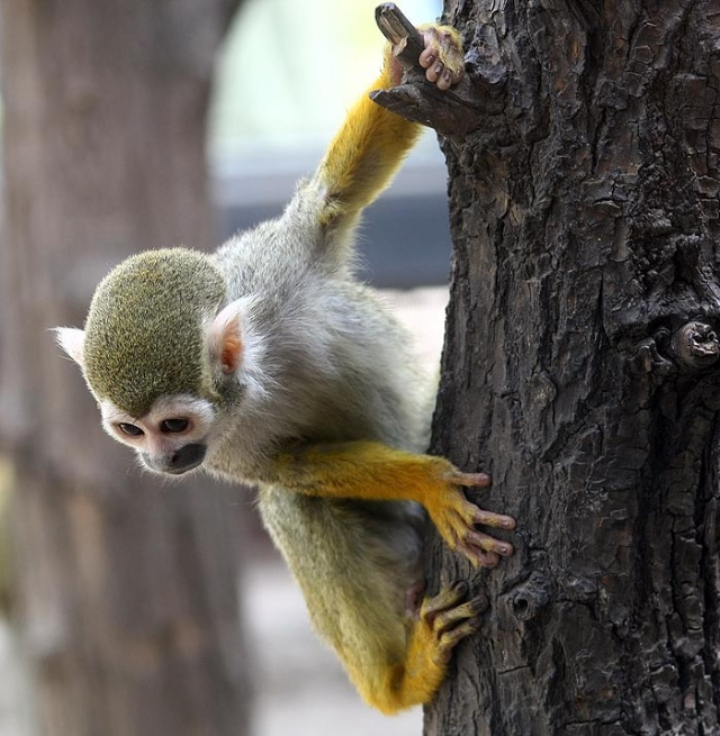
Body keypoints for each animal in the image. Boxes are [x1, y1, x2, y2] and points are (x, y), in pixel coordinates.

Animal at [55, 21, 516, 714]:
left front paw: (422, 59)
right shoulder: (225, 448)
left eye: (172, 427)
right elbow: (290, 470)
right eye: (129, 431)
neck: (253, 375)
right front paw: (429, 481)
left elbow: (334, 197)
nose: (163, 463)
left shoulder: (275, 266)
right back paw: (396, 683)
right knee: (294, 502)